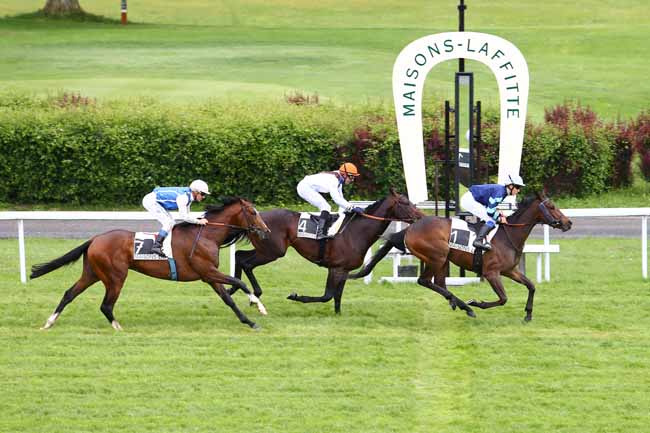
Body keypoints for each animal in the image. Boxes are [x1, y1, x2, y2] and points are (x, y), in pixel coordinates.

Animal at [30, 197, 270, 330]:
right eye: (252, 212)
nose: (266, 231)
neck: (207, 235)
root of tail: (95, 239)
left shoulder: (209, 276)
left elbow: (228, 299)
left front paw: (250, 321)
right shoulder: (208, 272)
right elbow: (240, 284)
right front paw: (258, 305)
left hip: (93, 273)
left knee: (69, 293)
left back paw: (49, 322)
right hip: (115, 276)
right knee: (106, 305)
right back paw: (118, 327)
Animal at [230, 187, 422, 312]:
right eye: (405, 202)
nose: (421, 216)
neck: (355, 232)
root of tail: (255, 219)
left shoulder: (344, 269)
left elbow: (337, 296)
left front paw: (338, 315)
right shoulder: (335, 268)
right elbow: (327, 295)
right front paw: (296, 296)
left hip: (265, 250)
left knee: (239, 256)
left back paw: (236, 289)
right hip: (272, 252)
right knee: (246, 263)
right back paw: (252, 292)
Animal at [350, 192, 572, 320]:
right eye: (551, 207)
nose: (568, 223)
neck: (508, 235)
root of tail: (411, 228)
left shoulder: (510, 270)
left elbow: (531, 286)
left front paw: (528, 314)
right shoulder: (492, 273)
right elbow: (503, 298)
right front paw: (477, 303)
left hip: (442, 259)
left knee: (439, 283)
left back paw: (457, 303)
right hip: (437, 257)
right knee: (425, 281)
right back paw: (466, 306)